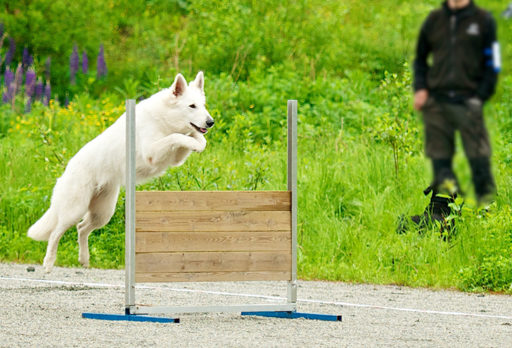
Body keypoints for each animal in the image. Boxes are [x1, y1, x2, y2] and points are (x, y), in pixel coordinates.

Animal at [28, 71, 212, 272]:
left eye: (203, 105)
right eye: (192, 106)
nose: (211, 122)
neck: (164, 118)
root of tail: (66, 170)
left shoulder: (174, 157)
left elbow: (192, 138)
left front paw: (198, 143)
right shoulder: (152, 153)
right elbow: (177, 136)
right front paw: (195, 142)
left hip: (103, 213)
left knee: (81, 228)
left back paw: (84, 259)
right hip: (74, 210)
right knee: (56, 233)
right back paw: (48, 263)